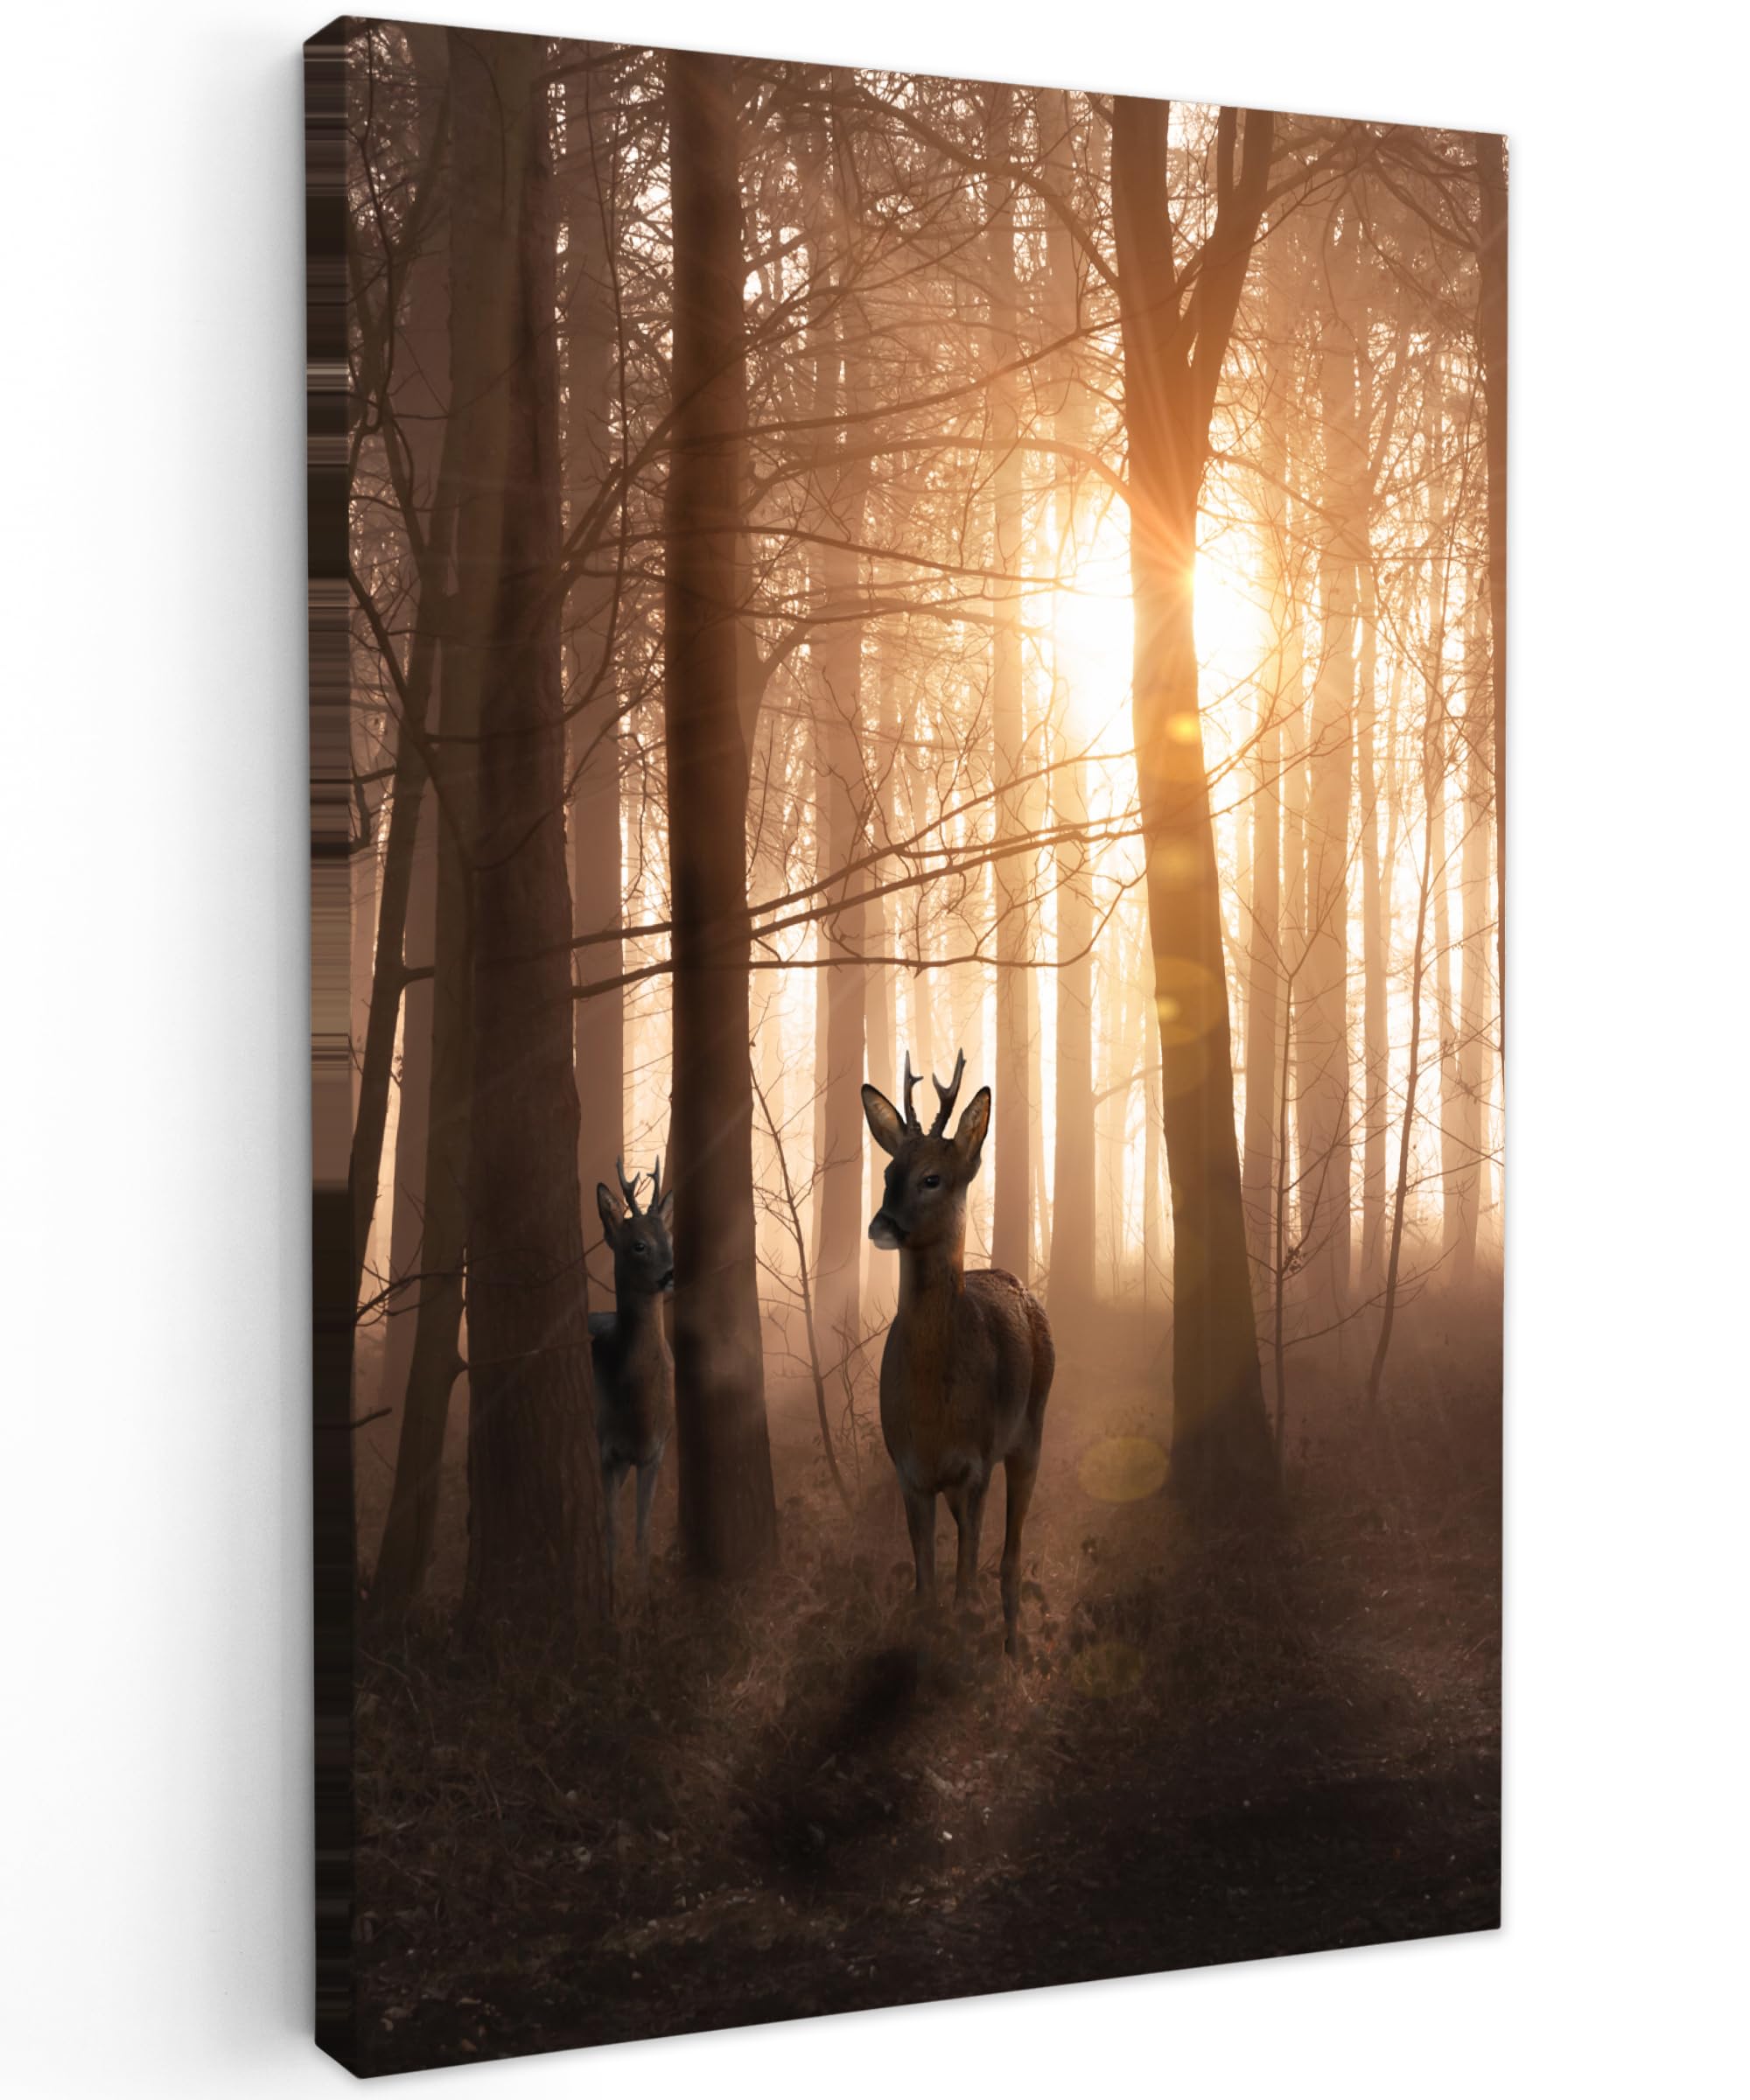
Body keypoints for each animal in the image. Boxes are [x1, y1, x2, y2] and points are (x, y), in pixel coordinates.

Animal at [862, 1051, 1054, 1655]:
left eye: (932, 1178)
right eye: (887, 1174)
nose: (882, 1224)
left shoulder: (976, 1461)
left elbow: (966, 1586)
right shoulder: (909, 1470)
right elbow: (926, 1589)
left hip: (1030, 1429)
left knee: (1011, 1553)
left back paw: (1014, 1643)